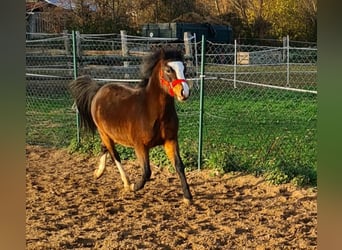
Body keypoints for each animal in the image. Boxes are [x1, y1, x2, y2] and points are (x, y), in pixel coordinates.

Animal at [69, 47, 192, 203]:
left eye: (184, 68)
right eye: (168, 70)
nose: (185, 92)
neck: (152, 112)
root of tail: (99, 89)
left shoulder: (170, 140)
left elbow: (179, 165)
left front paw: (188, 197)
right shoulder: (140, 146)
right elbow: (146, 172)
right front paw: (134, 186)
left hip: (109, 133)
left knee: (104, 147)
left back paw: (98, 173)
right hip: (103, 132)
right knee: (115, 155)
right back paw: (126, 183)